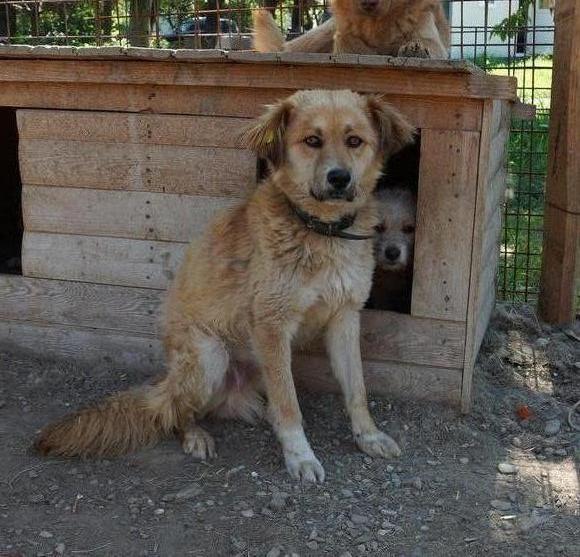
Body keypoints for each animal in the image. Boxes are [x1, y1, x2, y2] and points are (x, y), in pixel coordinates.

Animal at [35, 89, 412, 480]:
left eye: (354, 141)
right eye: (312, 140)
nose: (340, 178)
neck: (322, 231)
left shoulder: (344, 317)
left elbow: (356, 389)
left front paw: (369, 436)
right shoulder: (271, 326)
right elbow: (290, 405)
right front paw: (300, 455)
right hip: (210, 357)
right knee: (176, 413)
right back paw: (195, 436)